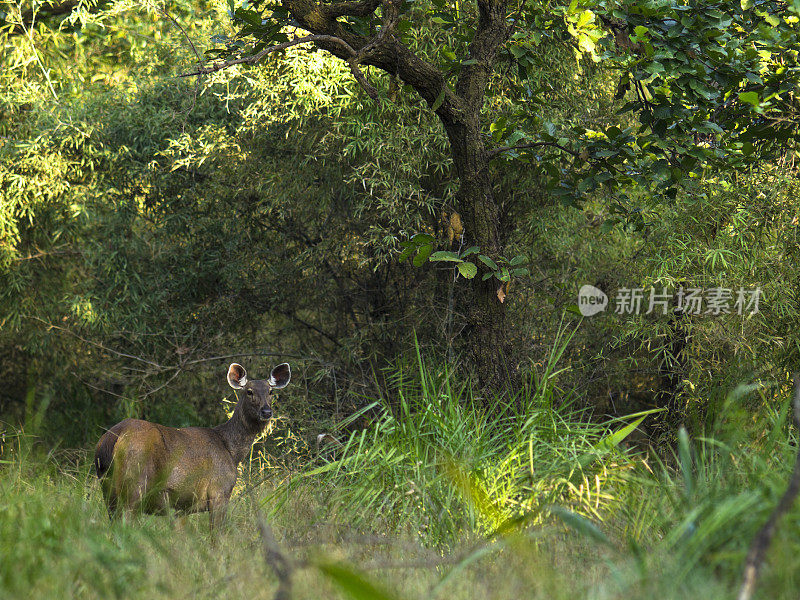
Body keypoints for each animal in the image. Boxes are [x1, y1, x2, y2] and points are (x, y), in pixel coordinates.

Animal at [94, 360, 290, 524]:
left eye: (271, 392)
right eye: (249, 392)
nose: (266, 412)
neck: (230, 450)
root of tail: (113, 437)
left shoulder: (181, 508)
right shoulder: (220, 491)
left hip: (108, 490)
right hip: (135, 483)